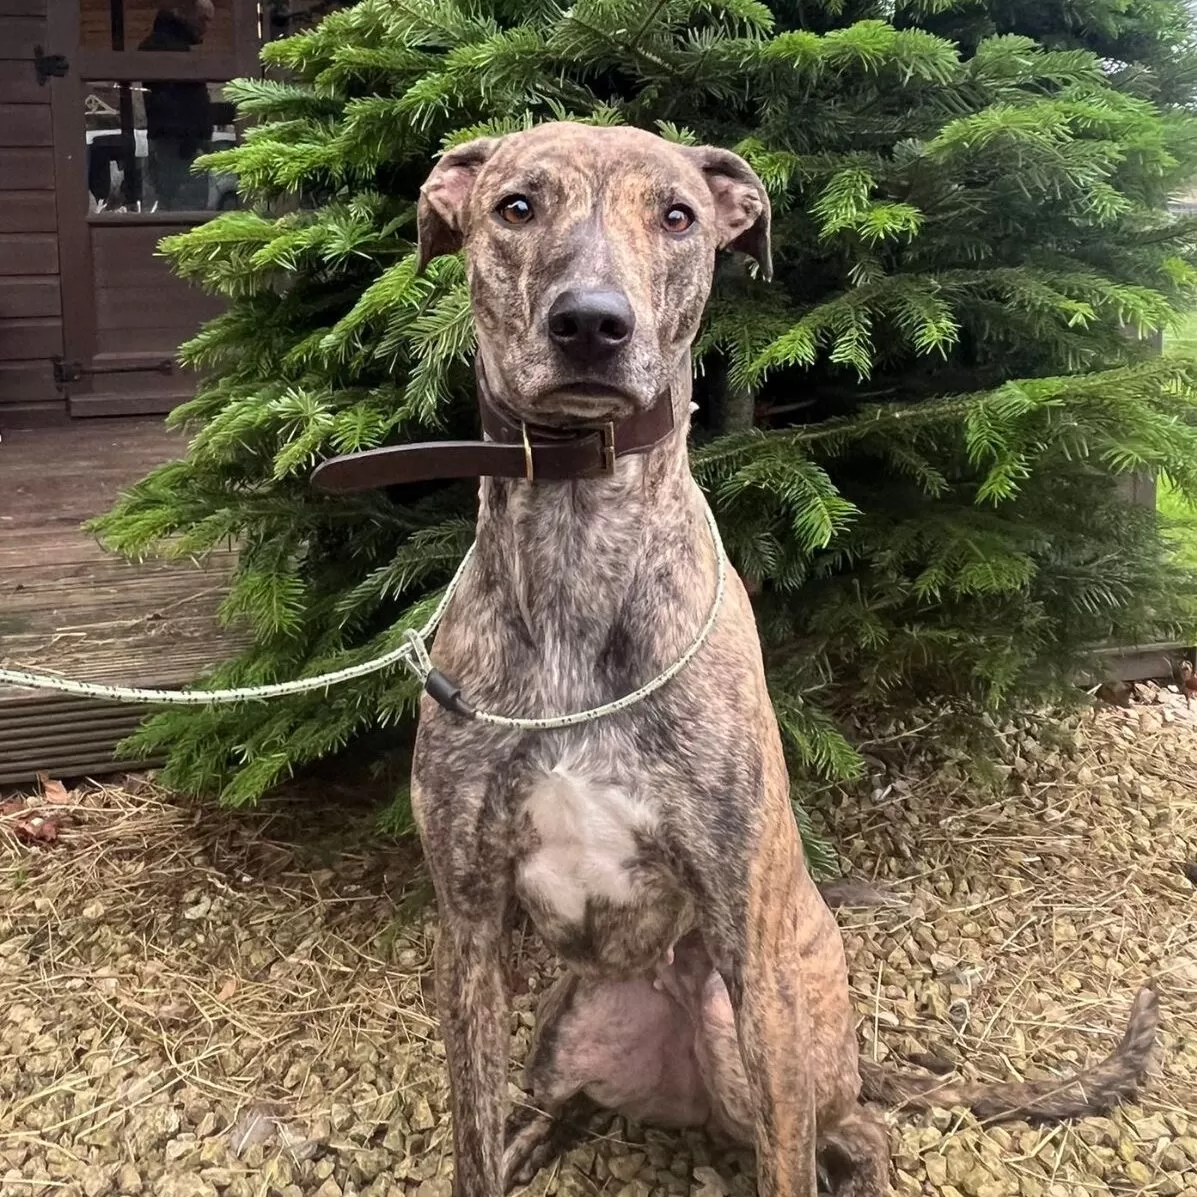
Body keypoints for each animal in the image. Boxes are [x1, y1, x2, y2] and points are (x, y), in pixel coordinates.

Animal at [406, 123, 1153, 1197]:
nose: (591, 323)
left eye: (677, 215)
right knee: (569, 1107)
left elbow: (791, 1158)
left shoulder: (745, 949)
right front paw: (489, 1154)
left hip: (759, 1029)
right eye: (515, 206)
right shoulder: (467, 925)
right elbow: (470, 1138)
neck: (580, 544)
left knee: (847, 1133)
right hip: (564, 1028)